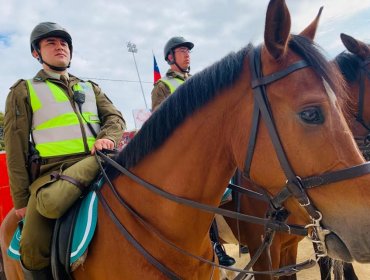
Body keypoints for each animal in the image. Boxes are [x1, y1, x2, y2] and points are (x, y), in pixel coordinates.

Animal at [3, 0, 370, 278]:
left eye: (343, 103)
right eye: (310, 113)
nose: (365, 226)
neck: (157, 227)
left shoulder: (290, 247)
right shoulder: (266, 252)